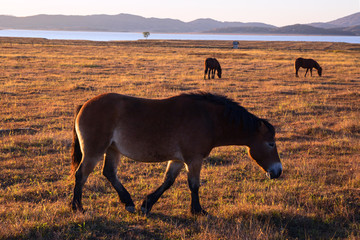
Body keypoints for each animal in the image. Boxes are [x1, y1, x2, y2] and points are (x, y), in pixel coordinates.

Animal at [70, 92, 282, 216]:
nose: (278, 171)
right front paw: (198, 211)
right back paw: (77, 207)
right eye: (271, 143)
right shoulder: (194, 160)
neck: (208, 119)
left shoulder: (178, 160)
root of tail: (84, 105)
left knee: (109, 173)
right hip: (94, 151)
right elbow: (194, 185)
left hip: (113, 150)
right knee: (81, 175)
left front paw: (147, 204)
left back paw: (128, 202)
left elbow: (168, 182)